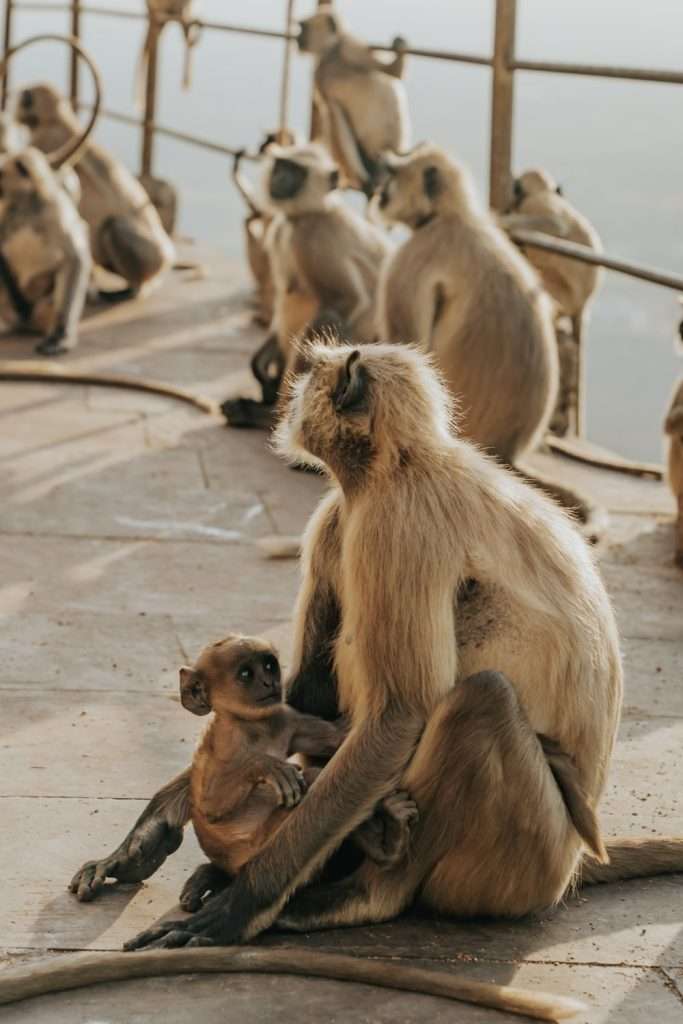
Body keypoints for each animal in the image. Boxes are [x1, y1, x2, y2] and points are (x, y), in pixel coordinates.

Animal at [18, 83, 175, 299]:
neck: (61, 122)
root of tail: (167, 256)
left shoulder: (44, 142)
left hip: (151, 260)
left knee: (113, 227)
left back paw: (131, 289)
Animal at [221, 143, 388, 429]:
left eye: (296, 171)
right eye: (281, 165)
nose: (279, 177)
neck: (301, 217)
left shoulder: (315, 235)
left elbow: (346, 301)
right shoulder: (281, 230)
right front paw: (261, 366)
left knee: (328, 319)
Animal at [297, 5, 410, 196]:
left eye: (303, 28)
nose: (298, 38)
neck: (332, 54)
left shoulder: (349, 47)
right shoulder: (341, 55)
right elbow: (394, 72)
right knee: (335, 112)